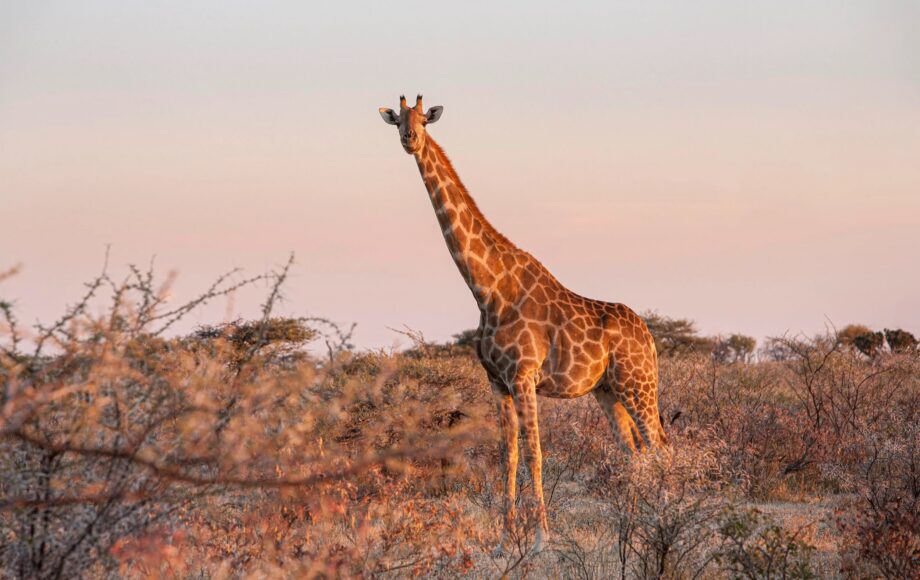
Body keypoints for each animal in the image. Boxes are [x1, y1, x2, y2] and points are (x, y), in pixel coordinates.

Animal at [379, 95, 668, 554]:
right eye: (398, 120)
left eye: (423, 119)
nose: (410, 139)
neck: (487, 287)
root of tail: (650, 337)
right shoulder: (497, 381)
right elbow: (507, 454)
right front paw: (503, 539)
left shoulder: (524, 376)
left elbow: (535, 452)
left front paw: (540, 539)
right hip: (608, 390)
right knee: (633, 450)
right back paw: (635, 529)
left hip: (639, 384)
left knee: (659, 448)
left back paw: (663, 521)